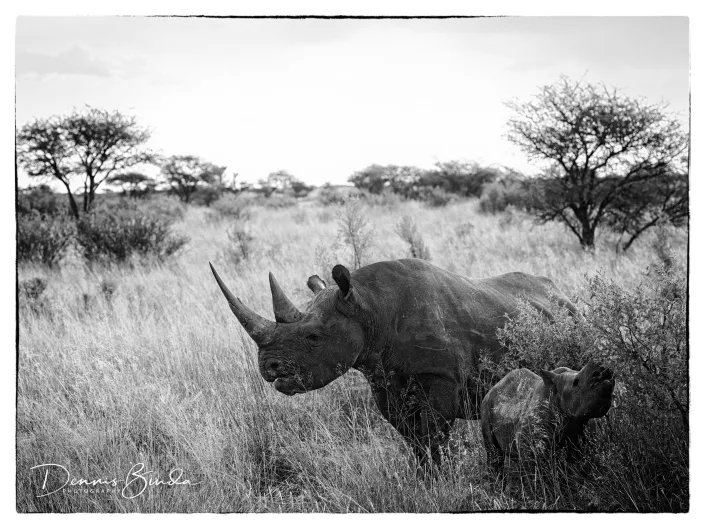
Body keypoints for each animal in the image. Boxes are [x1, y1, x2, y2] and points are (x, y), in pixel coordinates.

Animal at [210, 258, 576, 466]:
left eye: (313, 337)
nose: (268, 366)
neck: (368, 306)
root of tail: (563, 294)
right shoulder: (383, 380)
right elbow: (413, 440)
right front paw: (426, 480)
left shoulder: (439, 379)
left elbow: (433, 437)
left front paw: (441, 482)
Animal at [480, 362, 614, 473]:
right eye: (576, 382)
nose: (606, 373)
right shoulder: (531, 445)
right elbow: (537, 474)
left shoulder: (587, 435)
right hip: (485, 407)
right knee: (494, 454)